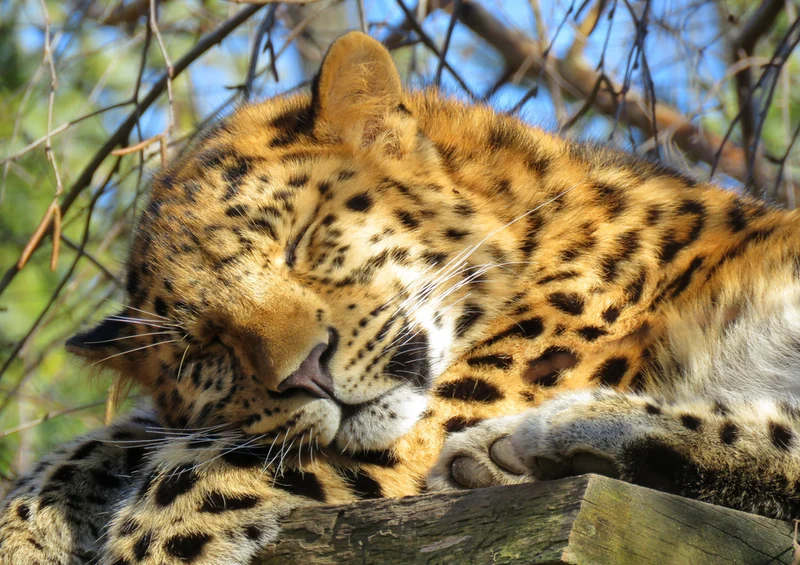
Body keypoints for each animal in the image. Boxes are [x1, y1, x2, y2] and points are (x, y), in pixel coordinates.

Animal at [4, 30, 800, 565]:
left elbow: (203, 462)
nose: (306, 373)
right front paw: (25, 528)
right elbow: (126, 437)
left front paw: (146, 544)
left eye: (301, 241)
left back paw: (549, 438)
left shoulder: (430, 420)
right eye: (206, 350)